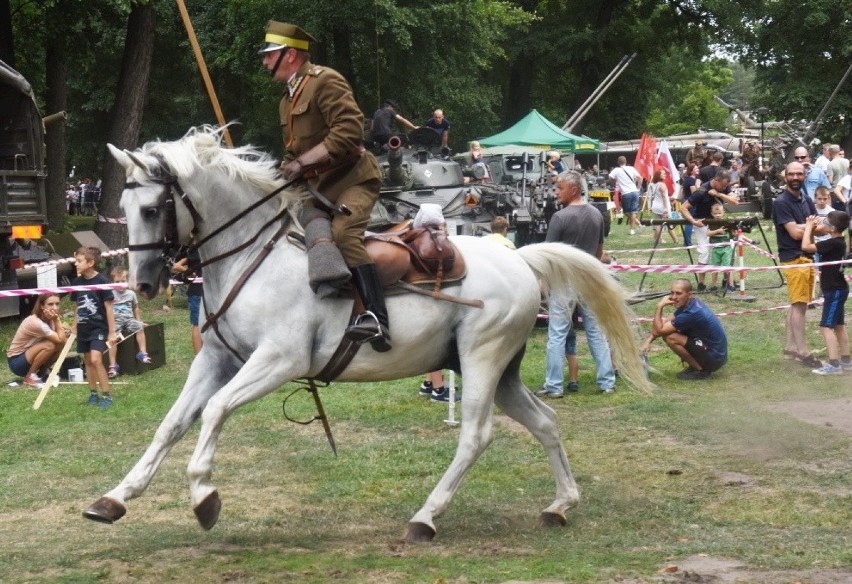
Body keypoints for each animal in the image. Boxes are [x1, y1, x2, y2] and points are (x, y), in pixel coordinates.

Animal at [83, 125, 648, 540]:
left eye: (152, 208)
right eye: (125, 210)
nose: (143, 283)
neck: (254, 256)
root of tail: (520, 259)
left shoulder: (278, 361)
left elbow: (216, 410)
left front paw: (204, 496)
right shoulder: (217, 359)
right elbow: (172, 424)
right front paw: (115, 498)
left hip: (482, 360)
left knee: (475, 435)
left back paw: (426, 517)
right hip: (498, 370)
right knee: (546, 423)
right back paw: (561, 504)